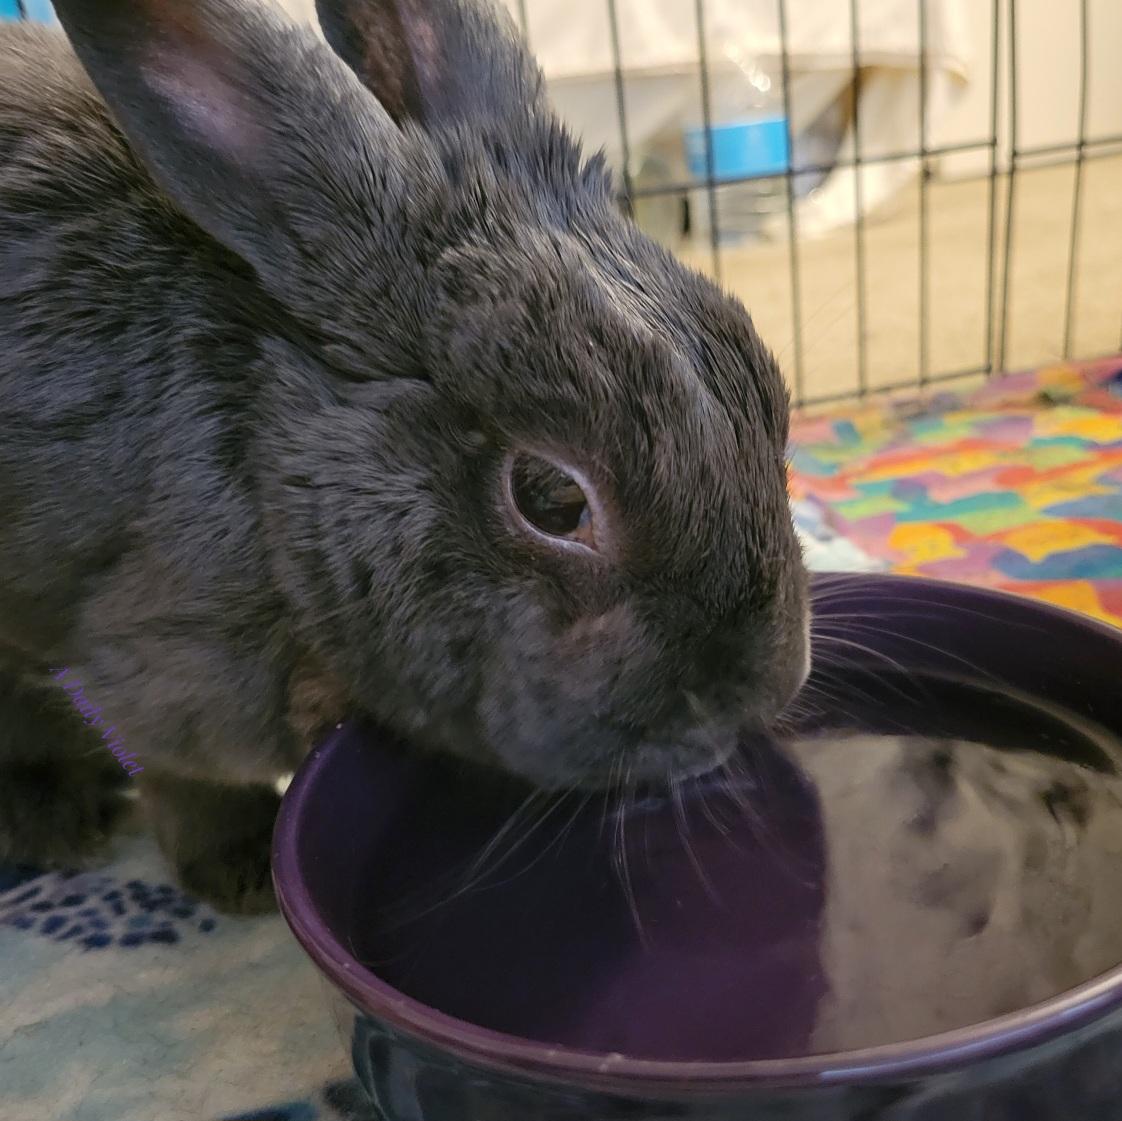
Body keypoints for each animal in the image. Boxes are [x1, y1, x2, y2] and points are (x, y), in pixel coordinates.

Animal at [0, 0, 809, 914]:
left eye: (773, 409)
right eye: (551, 499)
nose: (769, 687)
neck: (271, 453)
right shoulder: (160, 668)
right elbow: (189, 777)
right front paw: (241, 871)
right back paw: (58, 818)